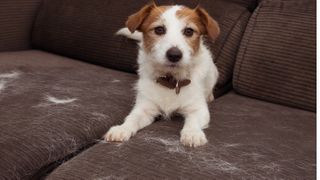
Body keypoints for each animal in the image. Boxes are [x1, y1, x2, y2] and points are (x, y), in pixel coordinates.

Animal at [104, 2, 219, 147]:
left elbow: (193, 121)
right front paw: (122, 128)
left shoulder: (198, 109)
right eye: (159, 29)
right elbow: (132, 118)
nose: (174, 55)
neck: (171, 81)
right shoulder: (144, 107)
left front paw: (192, 133)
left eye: (189, 31)